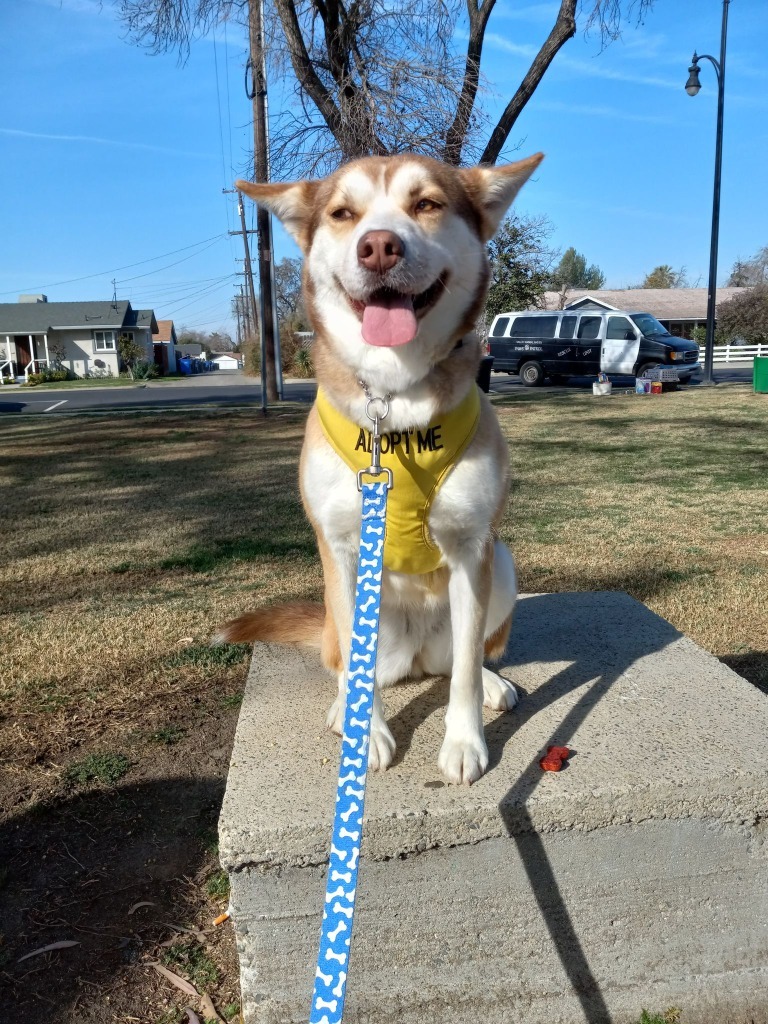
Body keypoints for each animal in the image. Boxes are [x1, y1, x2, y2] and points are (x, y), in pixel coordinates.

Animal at [219, 149, 548, 782]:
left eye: (427, 204)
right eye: (343, 214)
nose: (378, 247)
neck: (394, 401)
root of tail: (415, 656)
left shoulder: (473, 547)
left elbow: (465, 672)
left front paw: (465, 740)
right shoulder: (342, 546)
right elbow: (356, 657)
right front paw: (363, 734)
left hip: (502, 562)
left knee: (462, 659)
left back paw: (492, 683)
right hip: (342, 609)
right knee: (348, 663)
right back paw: (343, 705)